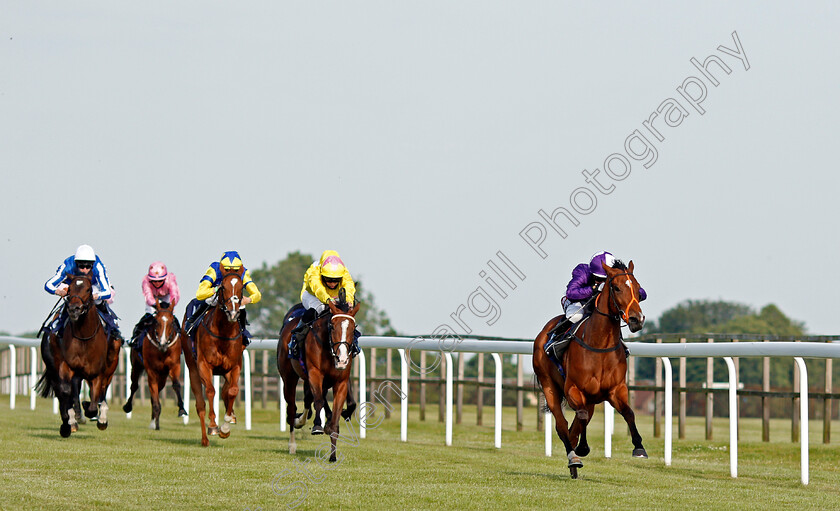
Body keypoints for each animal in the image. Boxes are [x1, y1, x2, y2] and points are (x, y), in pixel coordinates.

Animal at [35, 274, 120, 438]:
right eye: (69, 289)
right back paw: (71, 422)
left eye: (88, 289)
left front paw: (94, 413)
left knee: (103, 388)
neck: (84, 337)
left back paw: (100, 416)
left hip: (110, 365)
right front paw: (68, 423)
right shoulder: (66, 366)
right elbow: (65, 391)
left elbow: (94, 400)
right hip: (54, 367)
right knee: (64, 391)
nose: (74, 309)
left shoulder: (97, 372)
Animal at [122, 302, 188, 430]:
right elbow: (153, 393)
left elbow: (176, 385)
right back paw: (129, 407)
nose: (162, 343)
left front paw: (182, 409)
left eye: (172, 322)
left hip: (162, 376)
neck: (162, 351)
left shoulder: (174, 366)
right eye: (156, 321)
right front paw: (155, 422)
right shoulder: (151, 371)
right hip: (136, 366)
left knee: (156, 391)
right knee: (134, 386)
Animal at [184, 270, 246, 446]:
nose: (233, 312)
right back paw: (205, 439)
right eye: (223, 287)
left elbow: (232, 390)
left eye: (241, 287)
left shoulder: (234, 365)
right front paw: (213, 426)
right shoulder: (204, 365)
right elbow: (211, 391)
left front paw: (226, 426)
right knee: (200, 404)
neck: (223, 333)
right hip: (192, 369)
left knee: (226, 390)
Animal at [278, 290, 360, 462]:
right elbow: (319, 401)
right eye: (332, 326)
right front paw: (317, 425)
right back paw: (292, 444)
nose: (342, 358)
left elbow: (339, 411)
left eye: (352, 328)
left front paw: (333, 455)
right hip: (289, 378)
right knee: (292, 408)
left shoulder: (341, 381)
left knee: (309, 399)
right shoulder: (315, 374)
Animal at [536, 260, 648, 480]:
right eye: (616, 287)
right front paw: (582, 449)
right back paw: (573, 457)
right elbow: (580, 418)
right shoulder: (574, 389)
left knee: (575, 425)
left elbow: (629, 413)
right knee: (562, 424)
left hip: (591, 399)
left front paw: (639, 447)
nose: (636, 319)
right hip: (549, 385)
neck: (600, 345)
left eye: (638, 289)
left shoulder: (616, 390)